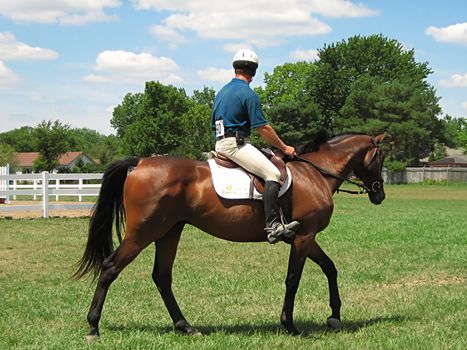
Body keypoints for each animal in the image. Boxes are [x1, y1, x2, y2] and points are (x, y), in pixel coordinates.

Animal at [75, 131, 386, 340]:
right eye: (381, 156)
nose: (379, 195)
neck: (316, 173)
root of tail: (139, 163)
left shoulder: (305, 237)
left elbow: (330, 268)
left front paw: (335, 316)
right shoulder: (304, 236)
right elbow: (293, 279)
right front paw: (290, 324)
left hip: (169, 231)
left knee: (162, 276)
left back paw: (185, 326)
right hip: (143, 232)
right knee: (110, 268)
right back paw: (93, 326)